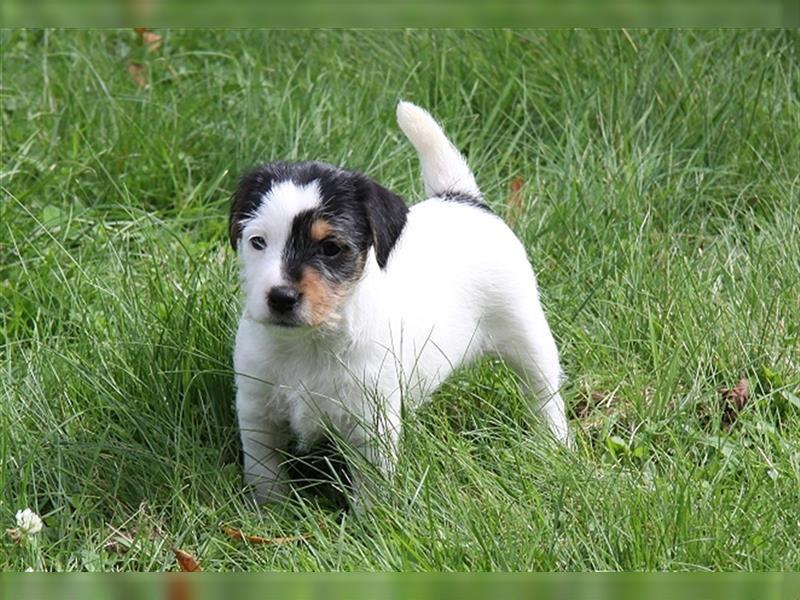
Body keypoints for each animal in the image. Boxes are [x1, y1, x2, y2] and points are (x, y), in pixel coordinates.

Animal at [231, 101, 568, 504]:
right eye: (258, 242)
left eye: (330, 248)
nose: (280, 296)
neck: (310, 344)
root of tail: (462, 199)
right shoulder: (257, 411)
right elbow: (265, 472)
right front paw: (270, 509)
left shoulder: (370, 422)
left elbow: (372, 484)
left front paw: (371, 516)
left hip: (528, 334)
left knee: (544, 393)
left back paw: (555, 443)